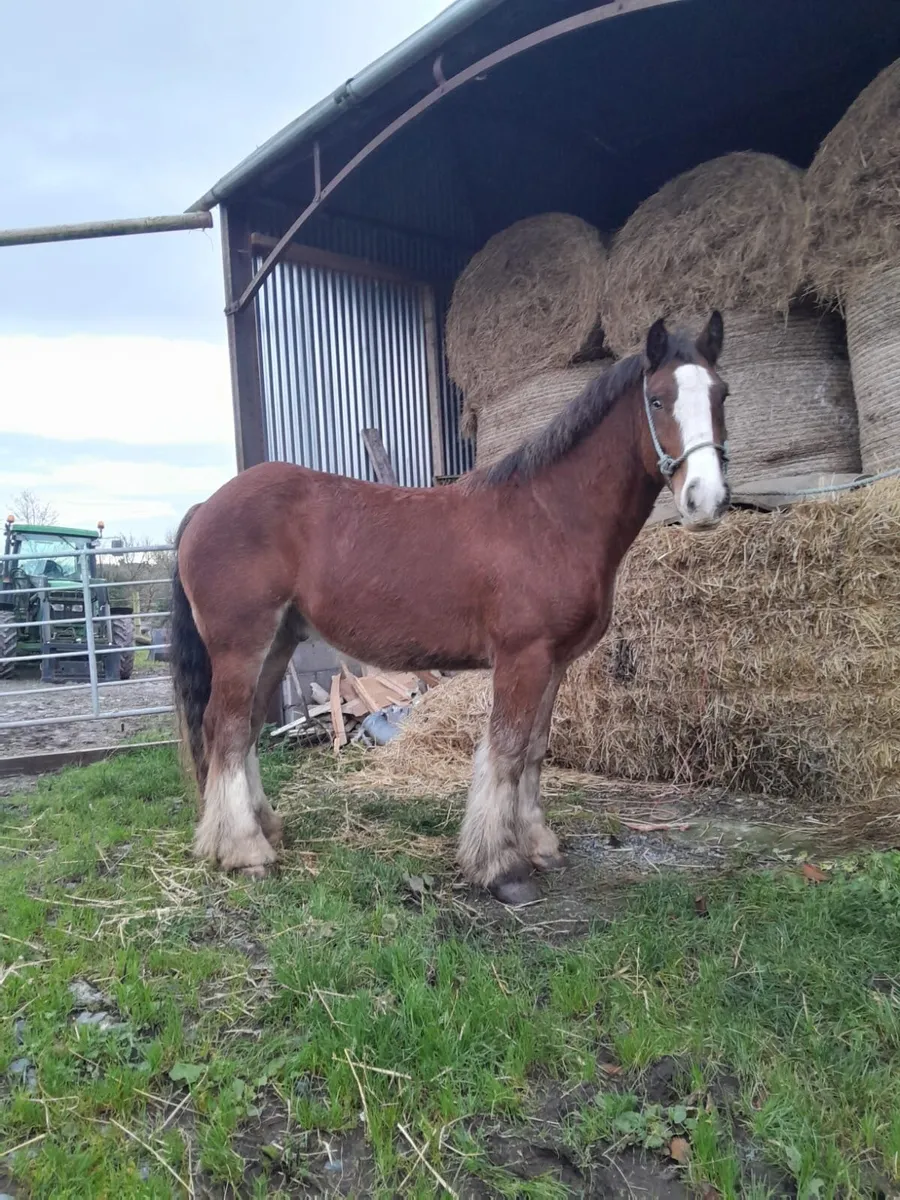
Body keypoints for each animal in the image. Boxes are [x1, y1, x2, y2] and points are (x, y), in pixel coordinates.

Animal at [170, 312, 730, 904]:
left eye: (722, 394)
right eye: (658, 399)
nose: (706, 499)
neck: (548, 517)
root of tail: (207, 506)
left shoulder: (554, 662)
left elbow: (535, 750)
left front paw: (538, 844)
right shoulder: (523, 658)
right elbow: (506, 752)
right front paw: (501, 868)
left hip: (277, 644)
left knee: (247, 729)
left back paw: (265, 829)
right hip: (241, 646)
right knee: (227, 729)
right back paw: (246, 852)